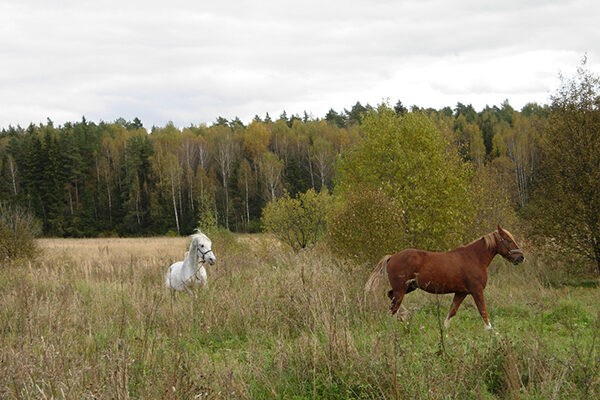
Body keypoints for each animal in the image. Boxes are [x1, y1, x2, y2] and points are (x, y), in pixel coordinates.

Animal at [364, 227, 524, 330]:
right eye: (508, 240)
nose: (521, 258)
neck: (474, 258)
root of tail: (391, 257)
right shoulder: (476, 290)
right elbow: (483, 310)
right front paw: (491, 331)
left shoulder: (461, 292)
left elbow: (452, 311)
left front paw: (445, 330)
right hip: (401, 289)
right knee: (393, 305)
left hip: (408, 287)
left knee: (390, 297)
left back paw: (402, 318)